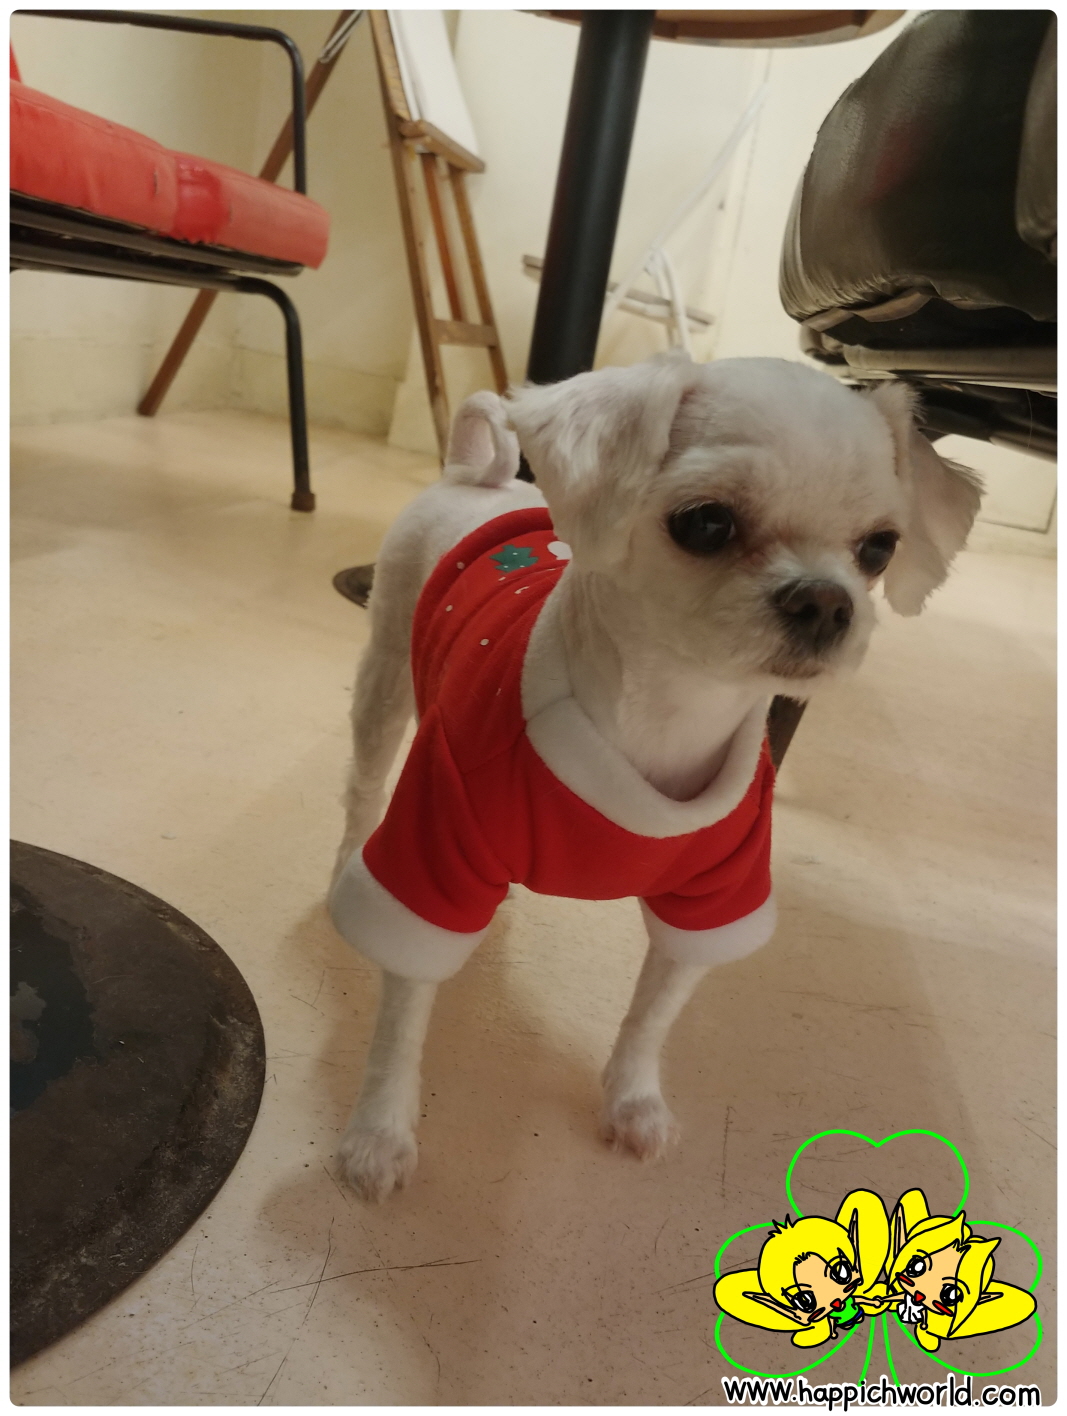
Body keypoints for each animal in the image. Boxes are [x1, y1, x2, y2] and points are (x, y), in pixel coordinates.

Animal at [328, 354, 982, 1202]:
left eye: (878, 548)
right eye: (705, 523)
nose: (824, 601)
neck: (669, 713)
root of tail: (477, 477)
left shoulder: (714, 899)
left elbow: (651, 1016)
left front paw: (632, 1101)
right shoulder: (432, 851)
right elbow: (402, 1020)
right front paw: (379, 1133)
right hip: (385, 686)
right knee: (362, 790)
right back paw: (346, 863)